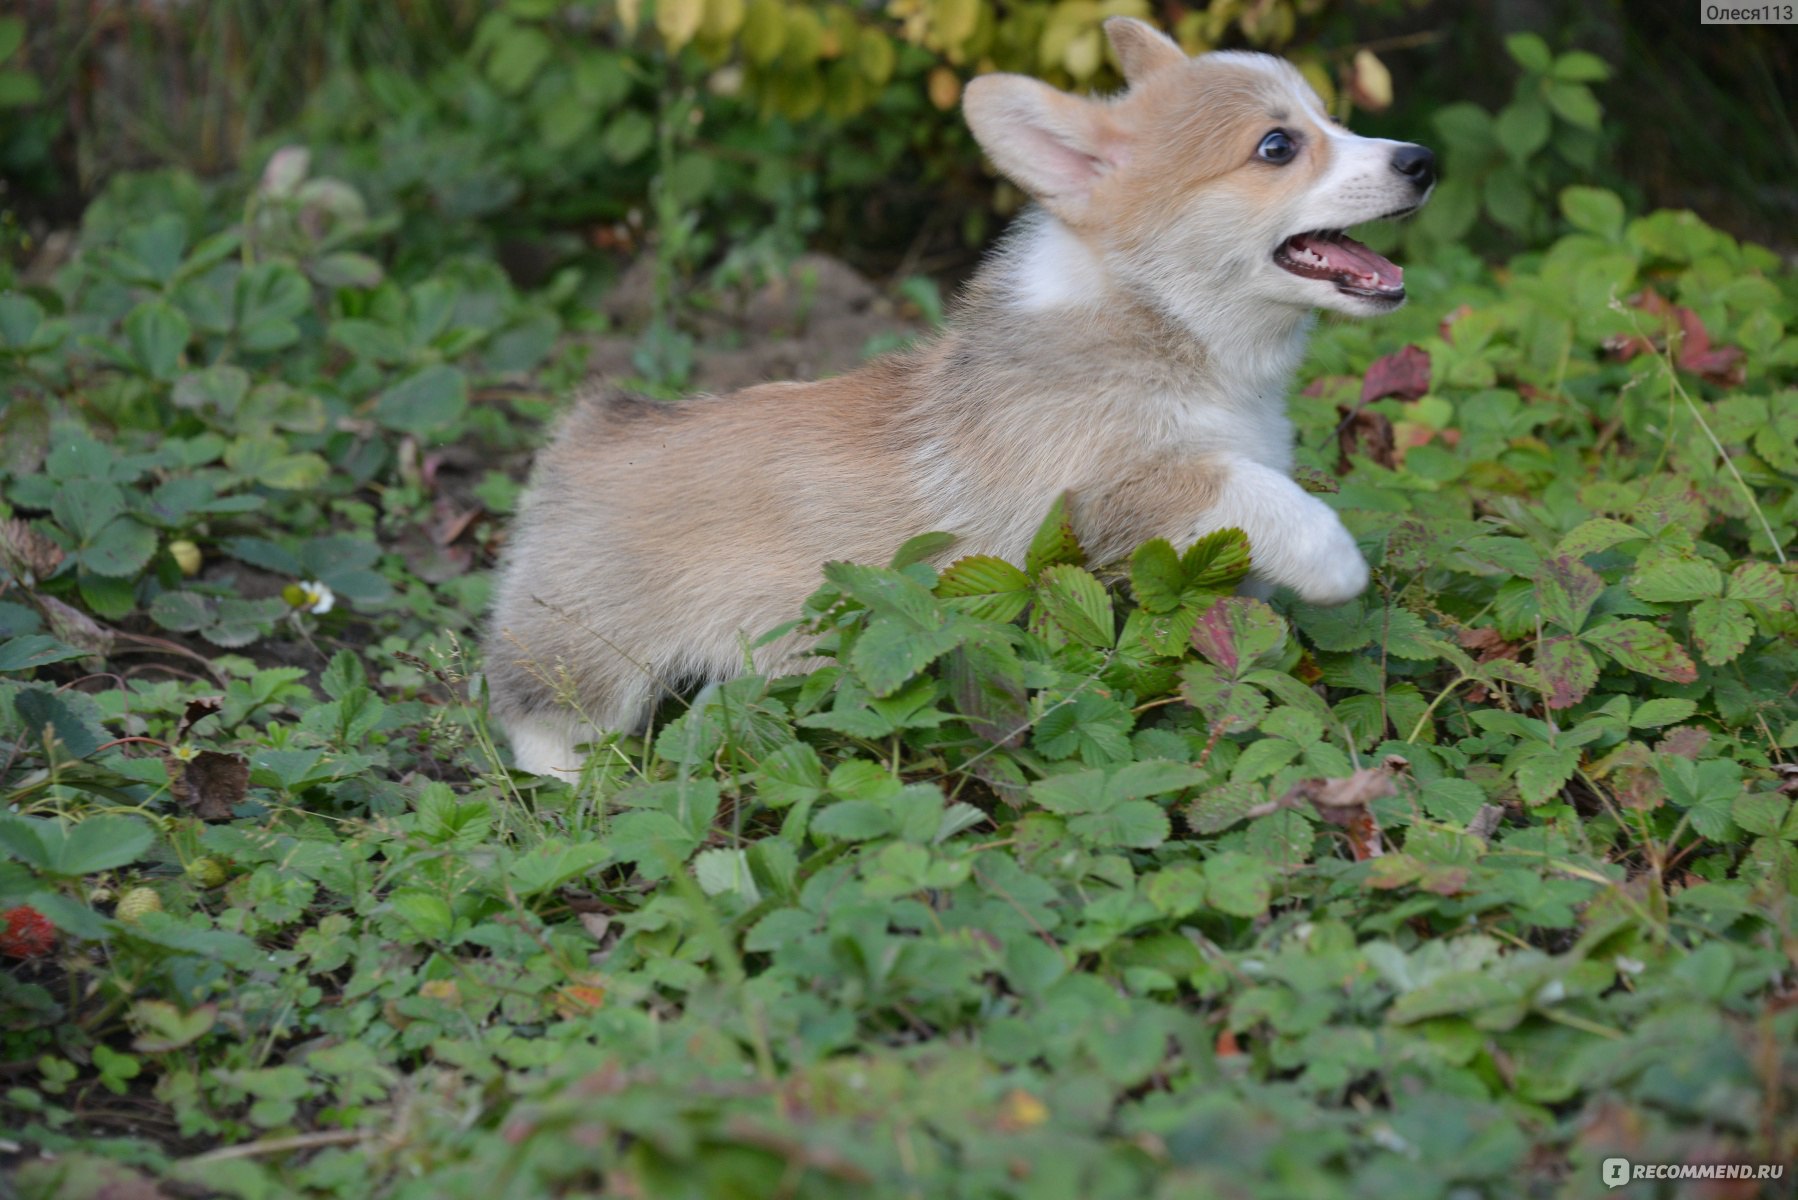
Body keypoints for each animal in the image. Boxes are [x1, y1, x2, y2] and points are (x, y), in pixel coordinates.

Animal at [478, 23, 1431, 784]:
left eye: (1330, 118)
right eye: (1277, 146)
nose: (1420, 161)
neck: (1159, 318)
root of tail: (597, 425)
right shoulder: (1098, 489)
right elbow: (1239, 487)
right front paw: (1337, 562)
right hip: (594, 646)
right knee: (538, 713)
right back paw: (580, 788)